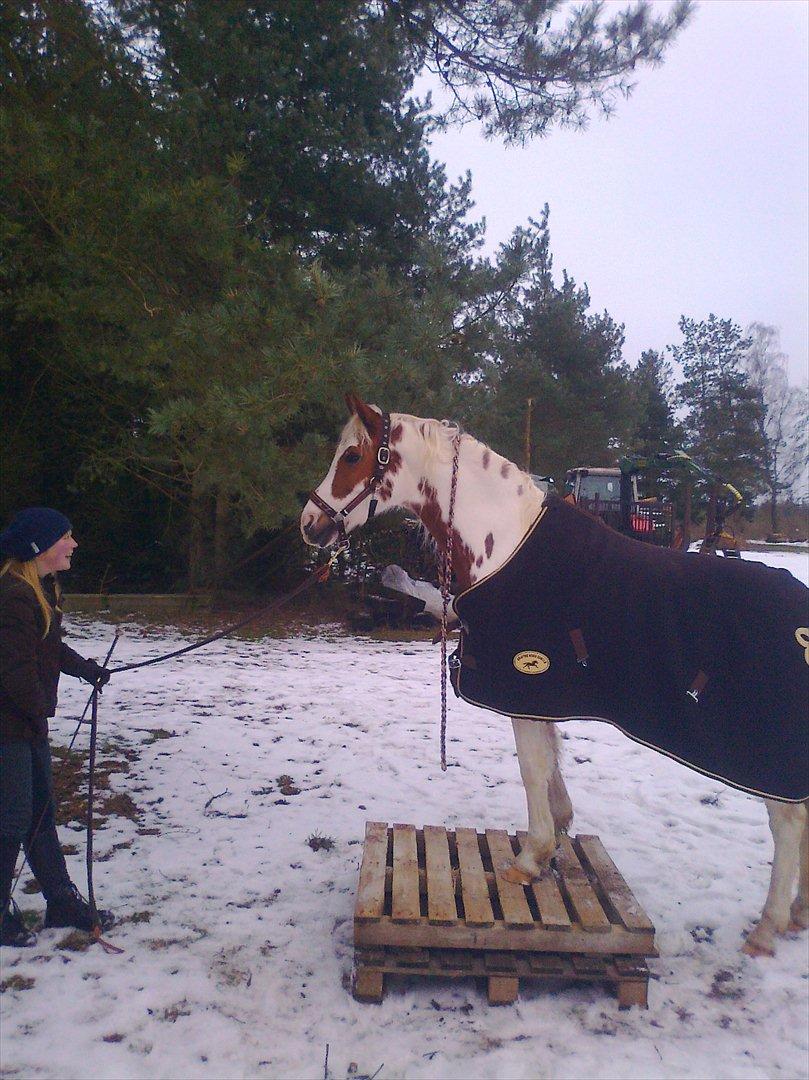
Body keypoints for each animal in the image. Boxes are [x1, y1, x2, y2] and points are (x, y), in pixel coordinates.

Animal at [302, 395, 807, 954]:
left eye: (352, 456)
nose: (309, 524)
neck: (506, 546)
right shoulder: (539, 694)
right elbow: (551, 765)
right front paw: (555, 838)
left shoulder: (523, 688)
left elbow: (532, 769)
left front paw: (529, 860)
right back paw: (799, 913)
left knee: (788, 823)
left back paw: (768, 926)